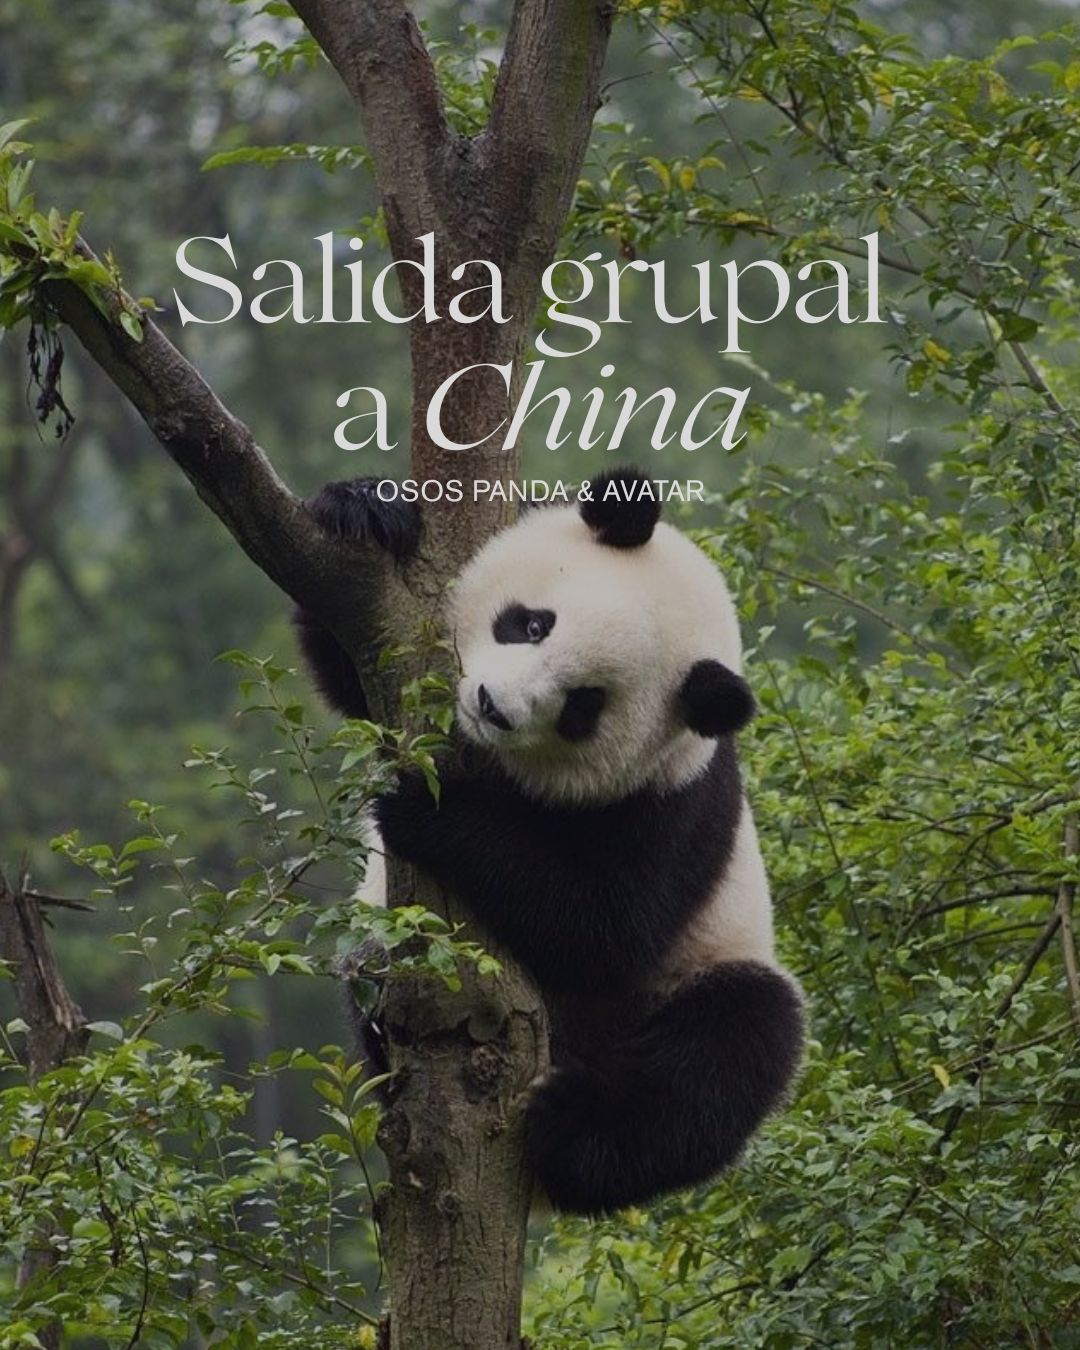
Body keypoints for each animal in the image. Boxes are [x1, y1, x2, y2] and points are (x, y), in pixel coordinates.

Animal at [296, 466, 804, 1216]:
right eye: (533, 623)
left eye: (583, 706)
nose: (491, 705)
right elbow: (353, 670)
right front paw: (368, 510)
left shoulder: (674, 802)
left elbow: (602, 927)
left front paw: (429, 807)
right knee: (365, 968)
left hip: (692, 978)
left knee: (734, 1045)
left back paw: (572, 1133)